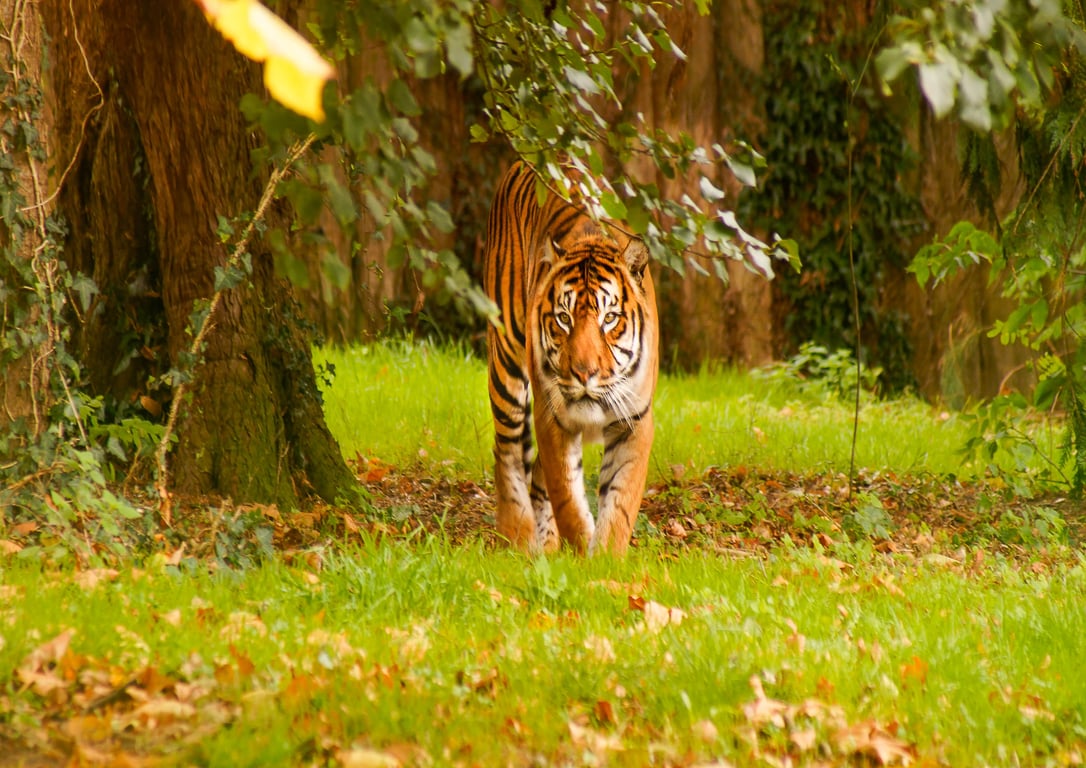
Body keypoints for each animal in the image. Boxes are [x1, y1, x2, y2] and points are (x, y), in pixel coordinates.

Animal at [483, 161, 659, 555]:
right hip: (506, 359)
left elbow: (620, 502)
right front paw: (581, 551)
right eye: (563, 318)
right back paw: (517, 537)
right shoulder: (552, 418)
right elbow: (567, 498)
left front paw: (604, 559)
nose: (583, 373)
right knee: (507, 450)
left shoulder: (635, 421)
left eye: (609, 318)